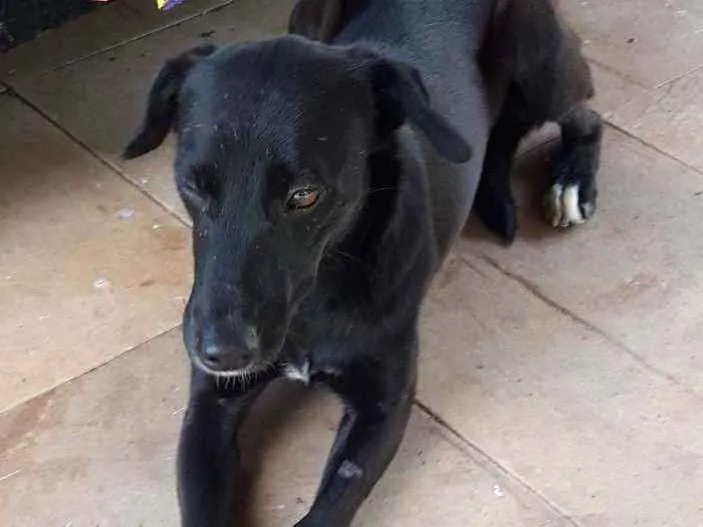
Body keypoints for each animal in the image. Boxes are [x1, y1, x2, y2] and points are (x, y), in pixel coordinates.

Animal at [123, 0, 602, 525]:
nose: (223, 352)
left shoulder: (383, 407)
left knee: (586, 114)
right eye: (192, 185)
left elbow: (329, 508)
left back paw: (571, 181)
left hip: (538, 57)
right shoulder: (209, 406)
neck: (316, 294)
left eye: (304, 195)